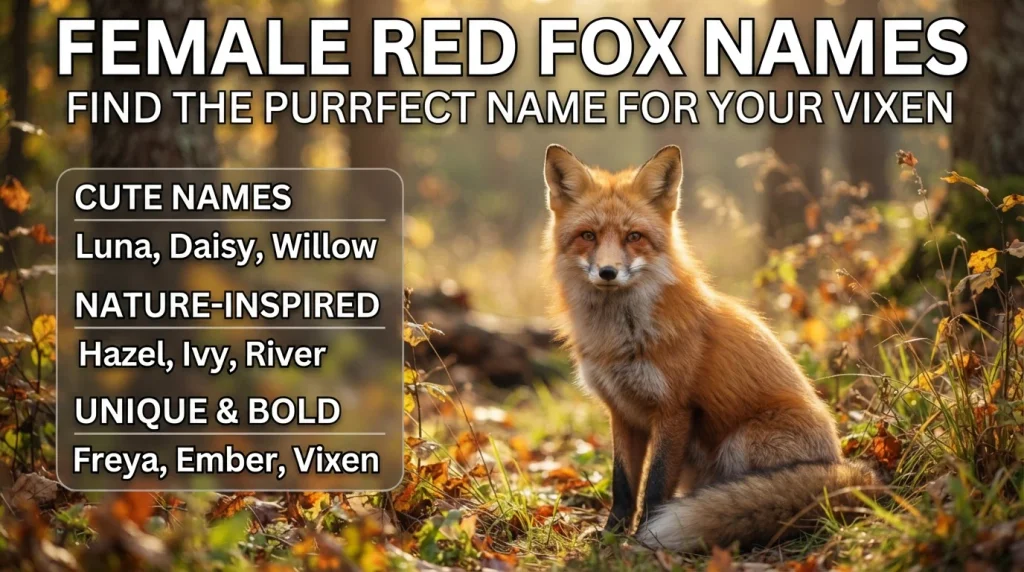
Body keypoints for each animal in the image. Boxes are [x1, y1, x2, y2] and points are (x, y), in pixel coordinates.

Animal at [543, 144, 879, 552]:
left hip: (742, 440)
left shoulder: (674, 410)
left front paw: (642, 540)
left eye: (634, 236)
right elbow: (623, 485)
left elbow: (655, 488)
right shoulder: (621, 412)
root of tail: (845, 467)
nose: (608, 272)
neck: (620, 339)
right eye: (588, 235)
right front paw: (611, 534)